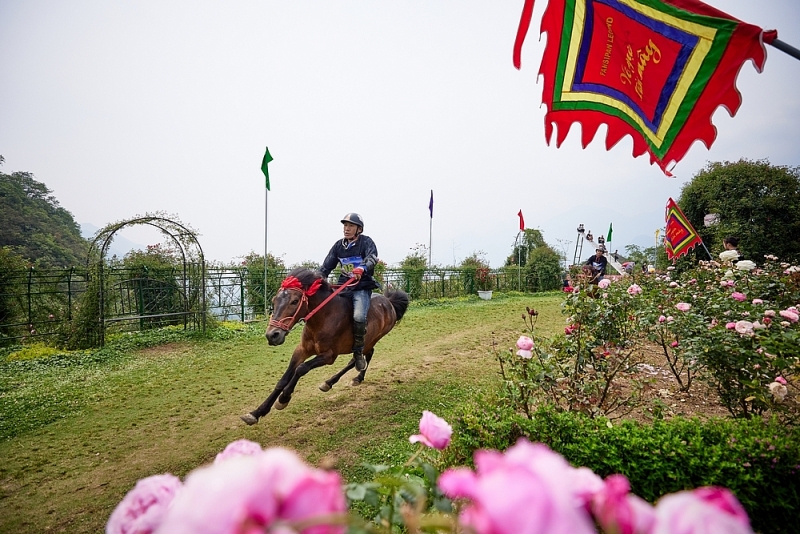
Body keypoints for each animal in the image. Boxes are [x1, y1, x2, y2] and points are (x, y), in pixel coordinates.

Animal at [241, 268, 410, 428]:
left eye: (294, 301)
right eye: (274, 300)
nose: (272, 335)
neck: (324, 318)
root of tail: (389, 302)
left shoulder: (329, 356)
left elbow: (301, 369)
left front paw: (284, 398)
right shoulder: (301, 350)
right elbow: (283, 379)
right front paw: (257, 412)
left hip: (371, 340)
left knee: (362, 358)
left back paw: (354, 378)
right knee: (358, 359)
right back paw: (331, 382)